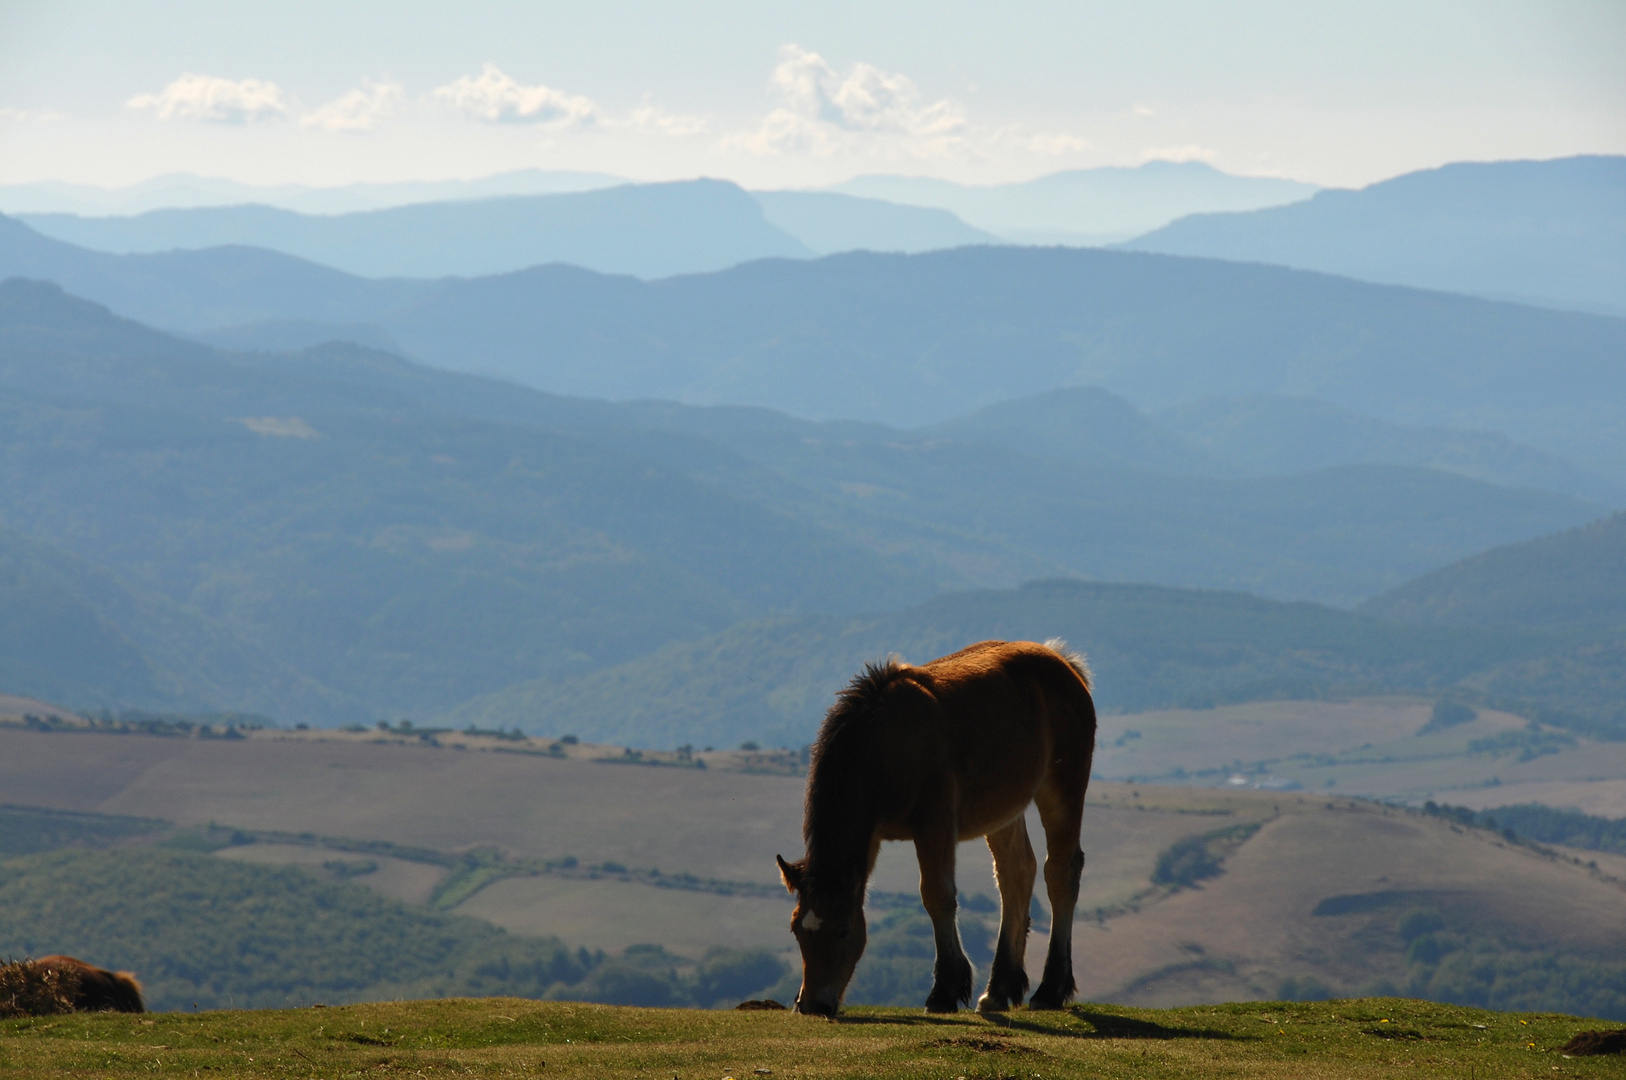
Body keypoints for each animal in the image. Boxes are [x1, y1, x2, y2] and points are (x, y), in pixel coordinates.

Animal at [770, 637, 1092, 1014]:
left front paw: (944, 990)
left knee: (1060, 872)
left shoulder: (934, 824)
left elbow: (937, 895)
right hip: (1004, 811)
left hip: (1062, 790)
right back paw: (999, 989)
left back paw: (1051, 989)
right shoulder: (873, 837)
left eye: (844, 930)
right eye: (796, 929)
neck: (884, 743)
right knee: (1016, 874)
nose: (813, 1004)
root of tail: (1063, 661)